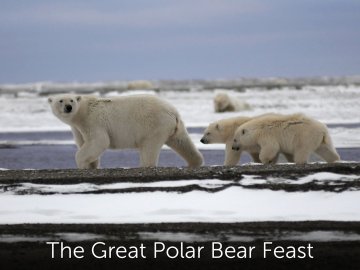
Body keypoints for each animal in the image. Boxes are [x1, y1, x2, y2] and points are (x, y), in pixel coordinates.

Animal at [48, 94, 202, 168]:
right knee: (182, 142)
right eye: (60, 100)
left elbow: (99, 141)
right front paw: (91, 165)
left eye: (72, 100)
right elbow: (84, 143)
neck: (83, 111)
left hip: (153, 125)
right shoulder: (78, 128)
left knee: (149, 148)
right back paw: (195, 162)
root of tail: (173, 111)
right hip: (174, 127)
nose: (68, 107)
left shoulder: (92, 121)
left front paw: (82, 163)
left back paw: (145, 165)